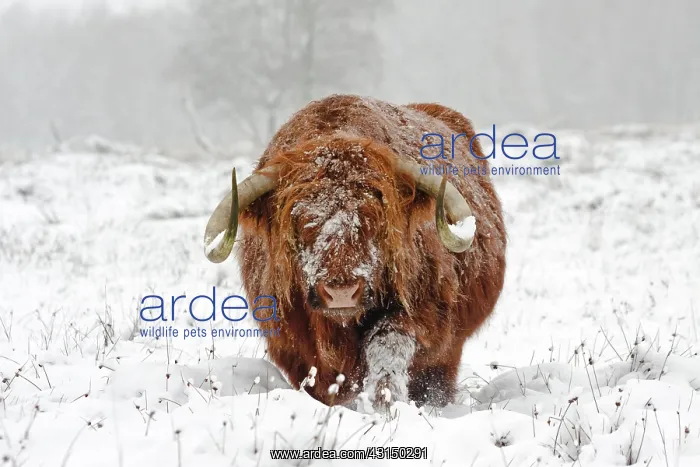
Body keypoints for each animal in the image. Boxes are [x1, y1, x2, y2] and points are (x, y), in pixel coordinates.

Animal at [203, 95, 506, 411]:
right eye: (301, 219)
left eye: (376, 218)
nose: (341, 293)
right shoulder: (291, 340)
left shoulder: (422, 312)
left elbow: (388, 350)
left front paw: (384, 405)